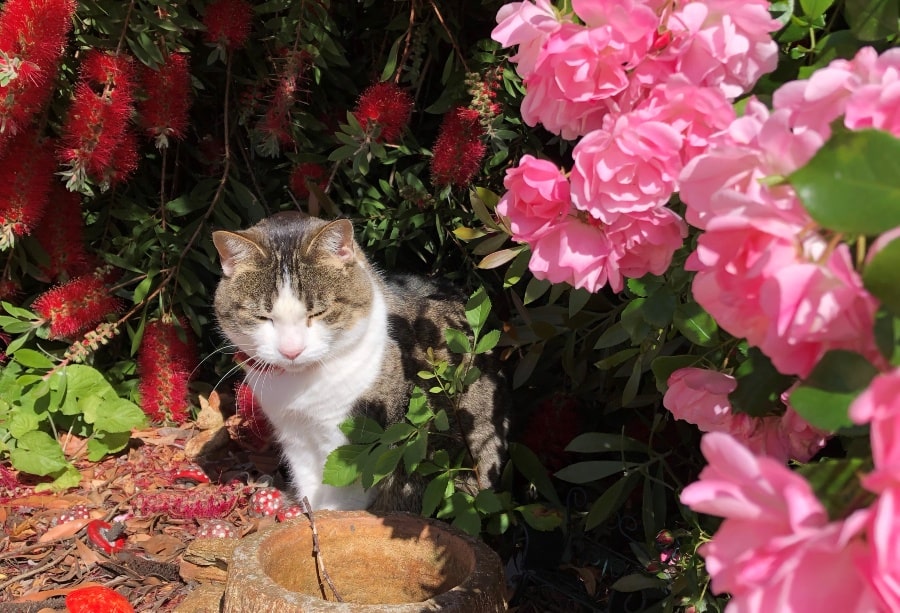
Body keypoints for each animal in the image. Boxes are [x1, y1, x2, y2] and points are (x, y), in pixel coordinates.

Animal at [209, 213, 506, 510]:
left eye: (318, 313)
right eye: (262, 317)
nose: (291, 350)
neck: (301, 390)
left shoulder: (354, 436)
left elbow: (342, 492)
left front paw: (328, 515)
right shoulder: (294, 434)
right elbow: (307, 478)